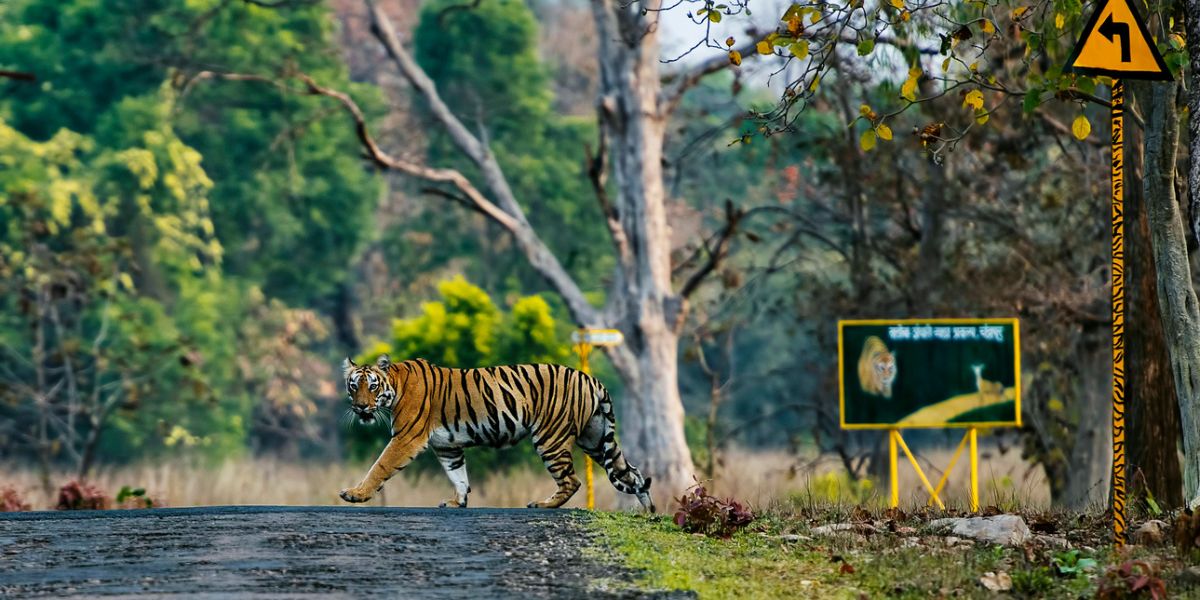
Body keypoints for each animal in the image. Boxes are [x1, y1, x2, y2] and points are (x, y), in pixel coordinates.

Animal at [338, 354, 655, 512]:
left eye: (372, 386)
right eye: (354, 386)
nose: (360, 407)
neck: (395, 386)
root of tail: (590, 378)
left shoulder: (406, 438)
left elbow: (380, 466)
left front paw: (355, 494)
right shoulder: (447, 447)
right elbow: (458, 475)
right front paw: (458, 502)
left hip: (550, 438)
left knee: (572, 480)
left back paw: (543, 504)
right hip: (596, 438)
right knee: (632, 472)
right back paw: (649, 510)